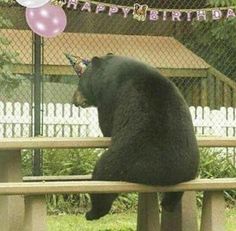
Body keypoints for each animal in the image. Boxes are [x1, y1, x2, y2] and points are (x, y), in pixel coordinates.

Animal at [68, 53, 199, 220]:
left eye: (80, 83)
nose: (74, 99)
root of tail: (159, 175)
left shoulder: (110, 95)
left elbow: (107, 123)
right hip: (185, 172)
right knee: (173, 197)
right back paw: (167, 205)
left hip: (122, 160)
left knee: (102, 177)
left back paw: (92, 213)